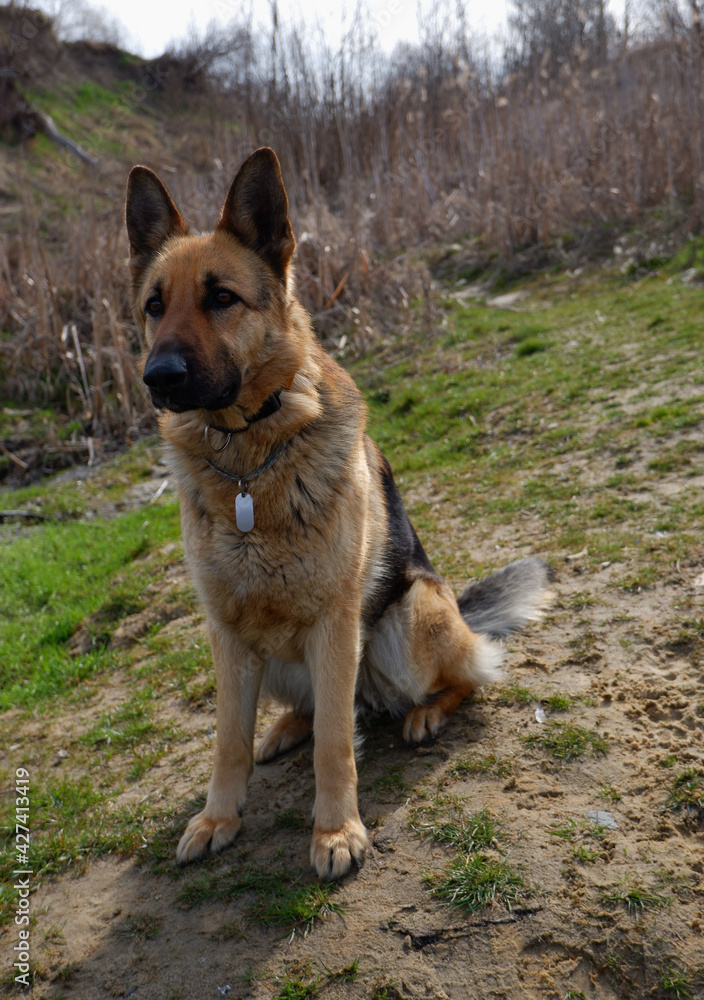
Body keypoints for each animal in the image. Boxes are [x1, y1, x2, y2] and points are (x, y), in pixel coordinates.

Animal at [126, 146, 556, 876]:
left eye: (221, 298)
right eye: (155, 306)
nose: (160, 378)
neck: (248, 465)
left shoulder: (334, 623)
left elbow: (335, 743)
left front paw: (335, 833)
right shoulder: (226, 632)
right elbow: (227, 741)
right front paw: (218, 818)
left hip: (406, 621)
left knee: (464, 676)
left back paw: (424, 714)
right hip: (278, 662)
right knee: (325, 708)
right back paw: (284, 728)